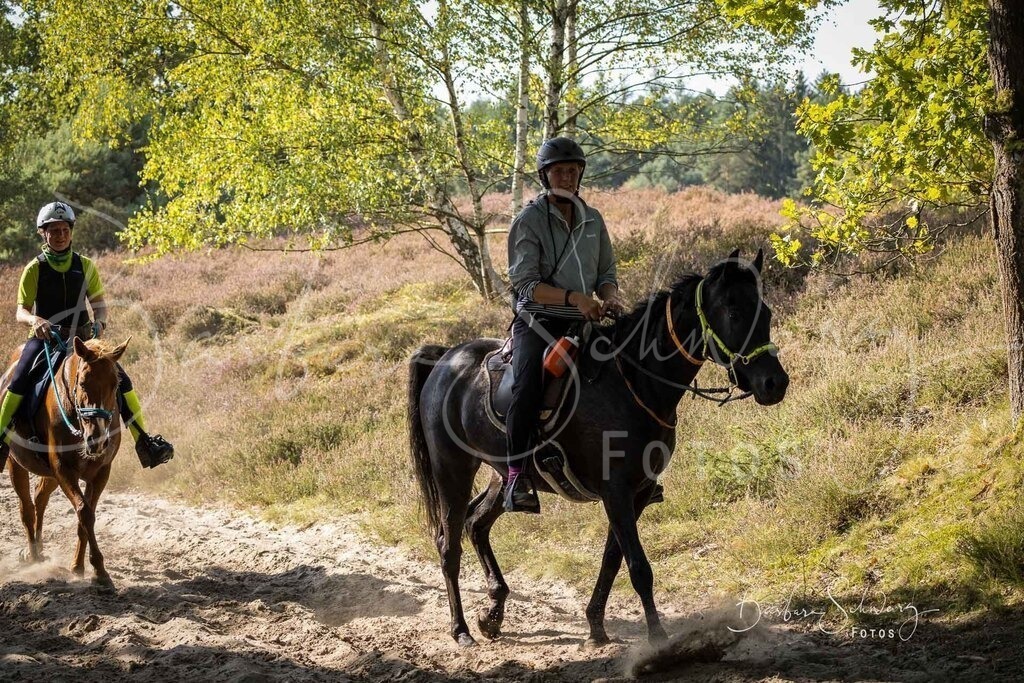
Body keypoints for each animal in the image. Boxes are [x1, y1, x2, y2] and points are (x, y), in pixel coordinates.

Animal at [1, 336, 129, 589]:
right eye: (83, 383)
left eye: (115, 385)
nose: (97, 439)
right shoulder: (63, 470)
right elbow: (84, 512)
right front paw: (99, 571)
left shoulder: (101, 472)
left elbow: (86, 516)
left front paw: (79, 567)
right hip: (16, 464)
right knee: (27, 509)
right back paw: (32, 555)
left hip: (49, 474)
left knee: (40, 498)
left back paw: (39, 549)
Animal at [407, 249, 789, 647]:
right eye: (733, 312)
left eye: (765, 312)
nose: (774, 383)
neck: (634, 383)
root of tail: (445, 358)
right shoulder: (616, 491)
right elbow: (638, 567)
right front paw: (657, 639)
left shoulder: (637, 491)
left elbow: (613, 559)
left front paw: (595, 625)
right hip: (452, 470)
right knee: (448, 543)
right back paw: (461, 629)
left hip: (503, 477)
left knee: (476, 524)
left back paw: (492, 613)